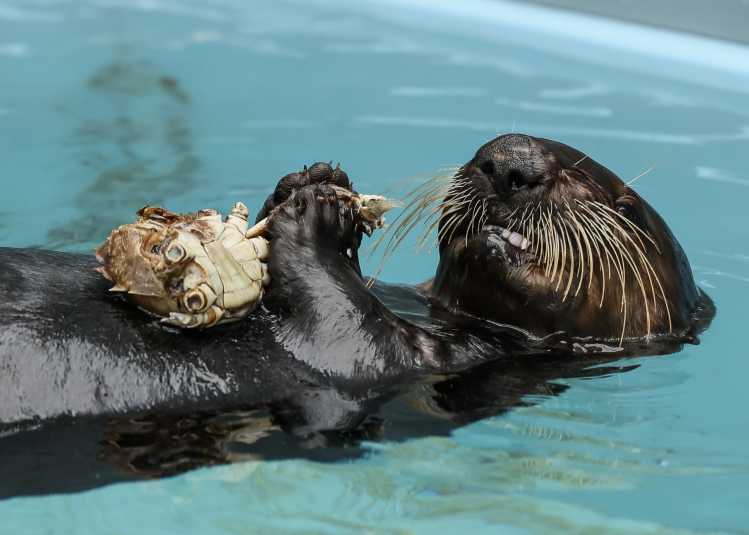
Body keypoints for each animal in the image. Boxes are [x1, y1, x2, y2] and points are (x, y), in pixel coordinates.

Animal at [0, 135, 713, 495]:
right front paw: (309, 178)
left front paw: (316, 212)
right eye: (489, 153)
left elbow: (346, 327)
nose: (509, 162)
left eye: (621, 203)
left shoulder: (398, 363)